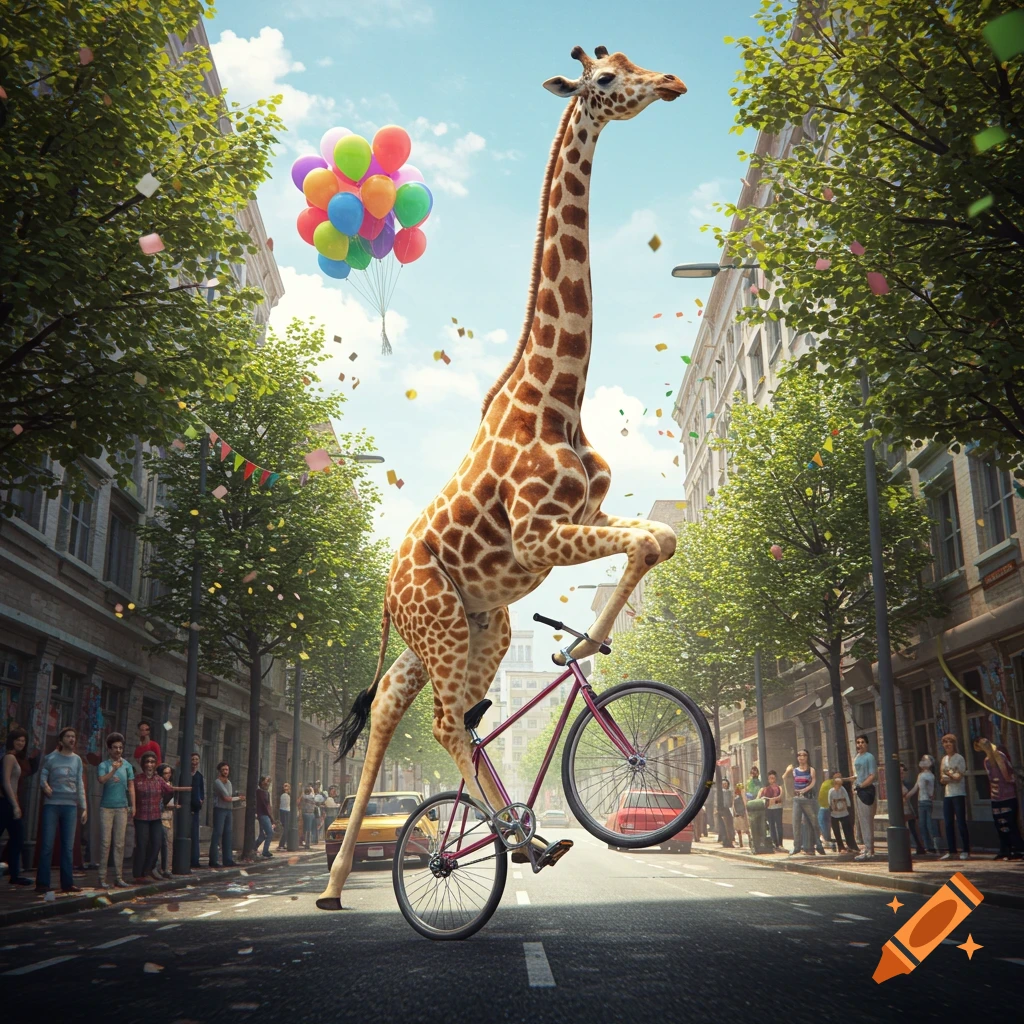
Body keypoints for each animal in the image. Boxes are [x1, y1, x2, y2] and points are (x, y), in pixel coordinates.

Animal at [316, 46, 687, 910]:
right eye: (606, 79)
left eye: (632, 60)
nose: (672, 85)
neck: (556, 400)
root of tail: (388, 587)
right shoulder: (537, 532)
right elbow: (651, 539)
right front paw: (582, 645)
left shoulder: (579, 522)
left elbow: (658, 537)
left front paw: (586, 643)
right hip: (445, 625)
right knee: (445, 721)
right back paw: (498, 837)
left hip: (470, 627)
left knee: (401, 712)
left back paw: (341, 881)